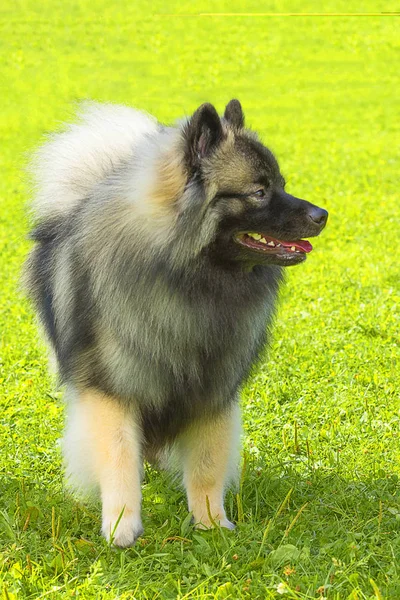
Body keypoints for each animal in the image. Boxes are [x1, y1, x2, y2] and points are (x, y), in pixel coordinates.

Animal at [23, 101, 326, 548]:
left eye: (282, 185)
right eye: (259, 191)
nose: (323, 215)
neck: (187, 279)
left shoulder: (212, 391)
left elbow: (206, 465)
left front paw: (211, 522)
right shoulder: (112, 389)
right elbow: (119, 458)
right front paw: (121, 525)